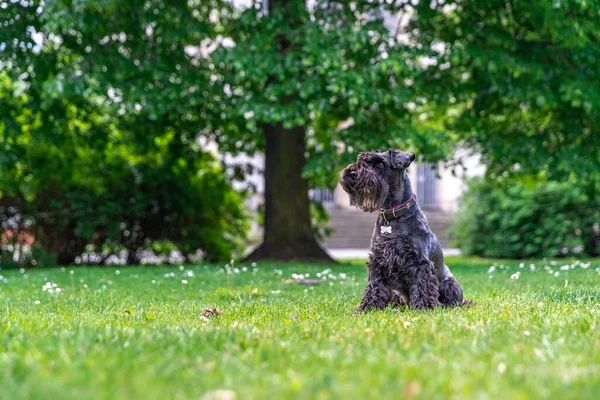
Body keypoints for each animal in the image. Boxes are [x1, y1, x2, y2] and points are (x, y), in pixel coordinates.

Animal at [342, 150, 464, 312]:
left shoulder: (420, 262)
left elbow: (422, 286)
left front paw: (422, 308)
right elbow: (374, 286)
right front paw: (367, 308)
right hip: (395, 293)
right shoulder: (378, 261)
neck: (392, 215)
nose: (352, 173)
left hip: (450, 285)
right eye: (361, 159)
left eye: (380, 163)